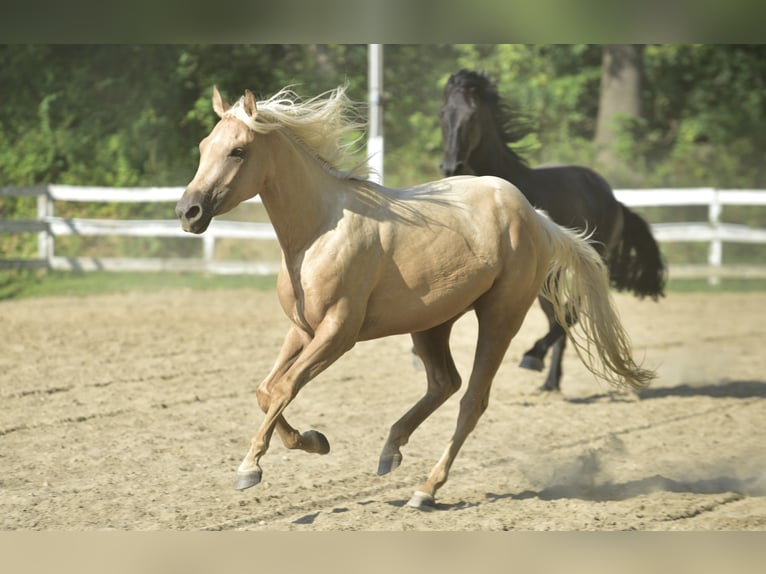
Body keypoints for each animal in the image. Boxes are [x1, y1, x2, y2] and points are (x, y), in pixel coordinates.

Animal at [439, 69, 666, 393]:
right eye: (443, 113)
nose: (451, 166)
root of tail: (613, 198)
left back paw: (536, 359)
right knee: (560, 317)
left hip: (586, 264)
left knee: (570, 314)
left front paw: (532, 355)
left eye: (472, 115)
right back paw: (549, 380)